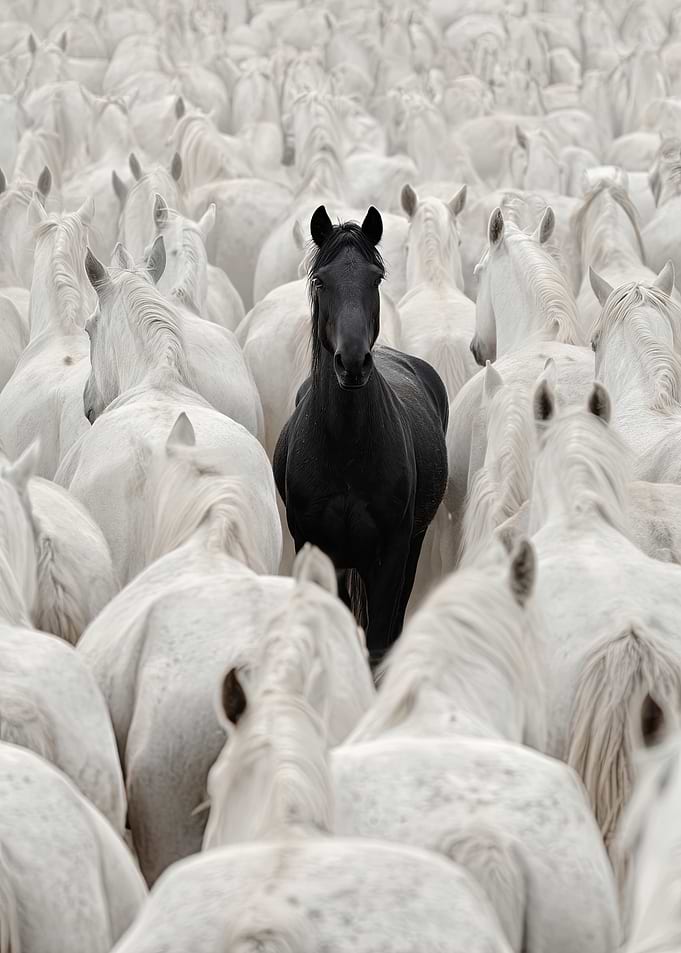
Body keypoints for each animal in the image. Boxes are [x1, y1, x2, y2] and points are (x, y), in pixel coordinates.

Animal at [274, 206, 449, 660]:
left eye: (376, 278)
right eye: (321, 280)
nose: (352, 362)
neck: (346, 450)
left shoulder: (391, 554)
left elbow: (378, 640)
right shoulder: (319, 549)